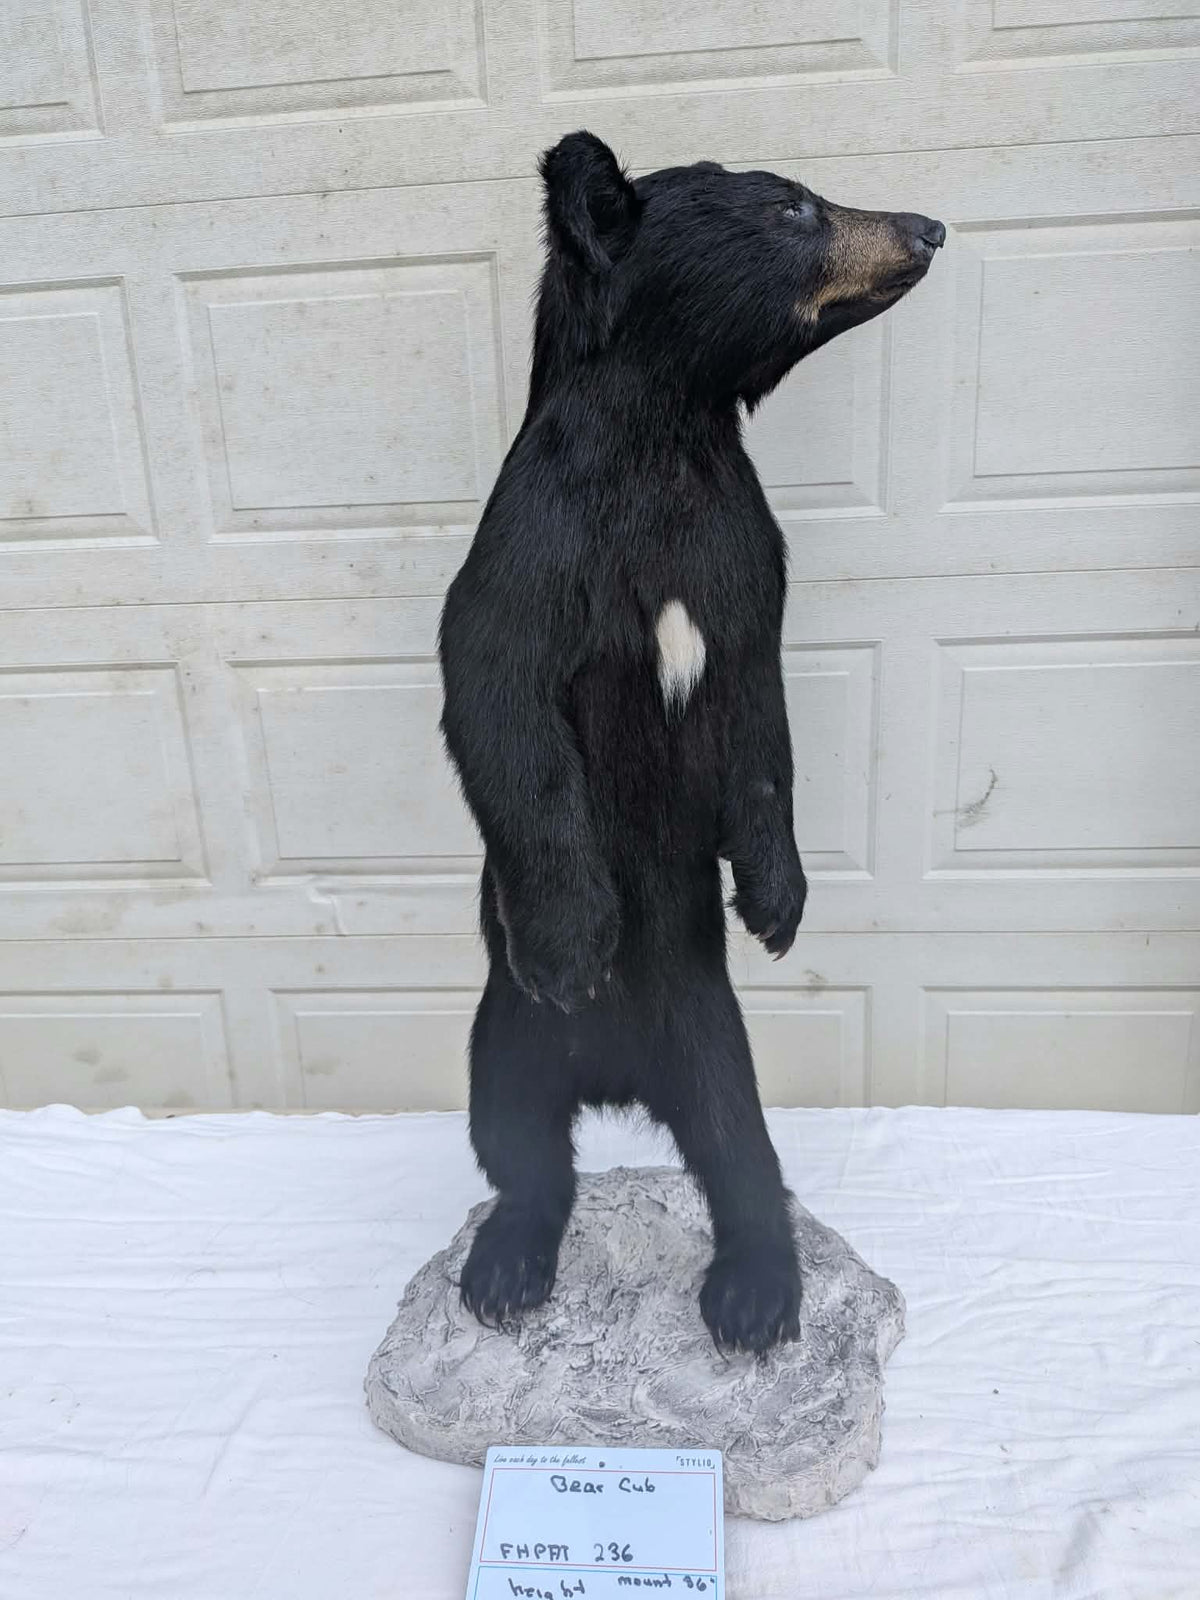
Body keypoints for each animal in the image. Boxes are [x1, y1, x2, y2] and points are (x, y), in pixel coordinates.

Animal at [439, 132, 943, 1353]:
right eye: (794, 206)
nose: (927, 227)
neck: (664, 439)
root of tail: (621, 1081)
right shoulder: (534, 545)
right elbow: (501, 701)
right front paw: (575, 942)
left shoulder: (744, 556)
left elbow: (760, 722)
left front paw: (777, 902)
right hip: (501, 1036)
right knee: (520, 1146)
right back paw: (508, 1265)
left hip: (714, 1036)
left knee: (739, 1149)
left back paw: (755, 1292)